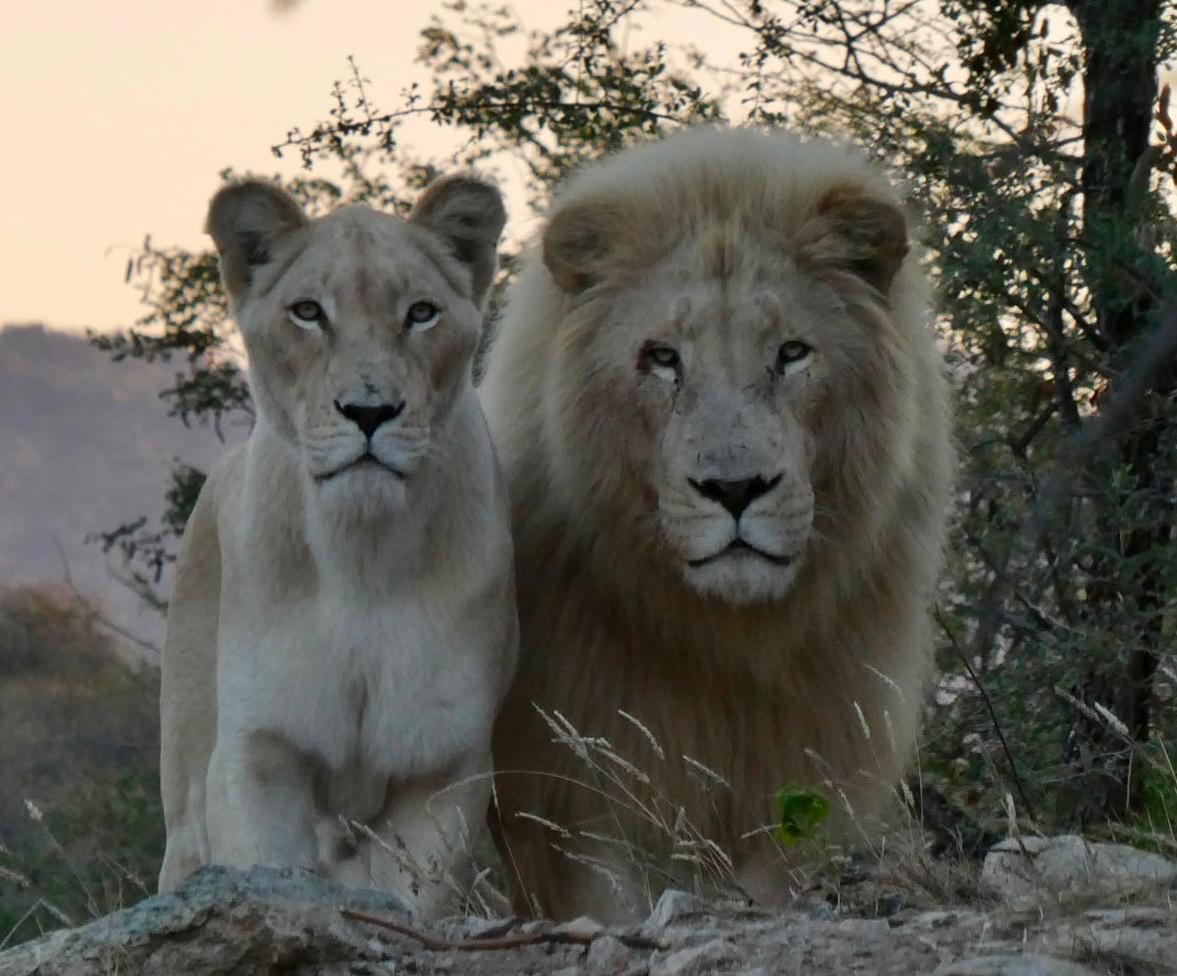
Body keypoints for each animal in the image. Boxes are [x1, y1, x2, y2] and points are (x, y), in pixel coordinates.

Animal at [157, 175, 518, 920]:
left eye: (421, 313)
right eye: (306, 312)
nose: (370, 412)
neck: (362, 558)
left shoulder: (442, 765)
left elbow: (412, 900)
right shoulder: (258, 750)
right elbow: (267, 873)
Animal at [480, 126, 954, 922]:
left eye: (791, 353)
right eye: (662, 358)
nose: (735, 489)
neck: (722, 644)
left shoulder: (789, 781)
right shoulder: (576, 794)